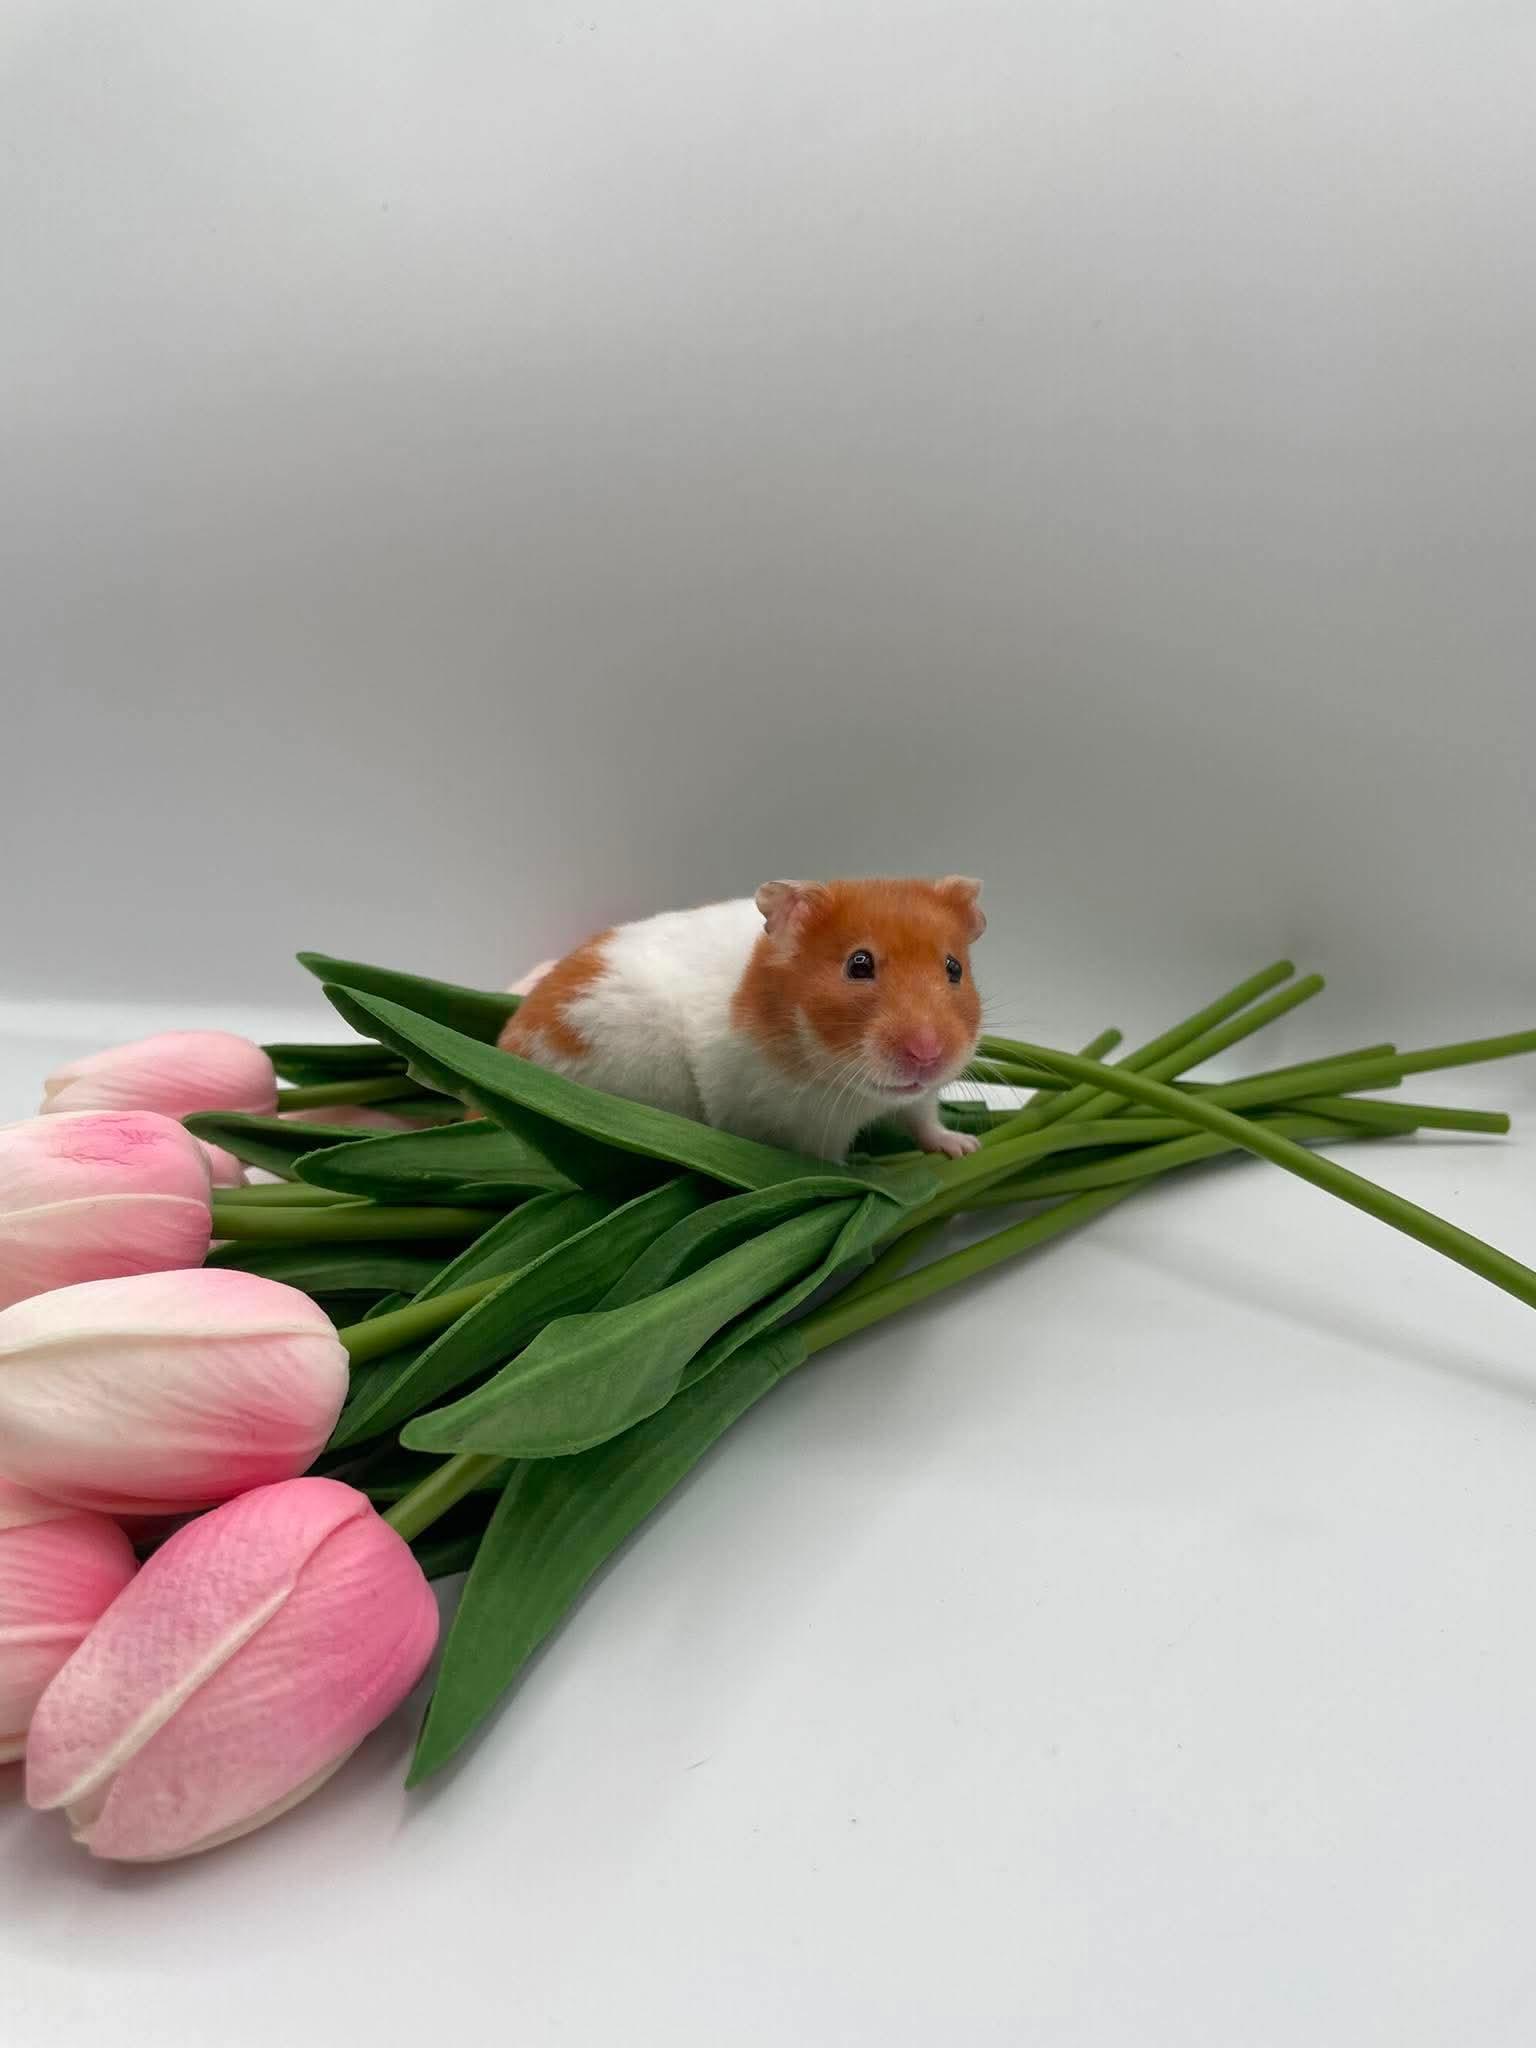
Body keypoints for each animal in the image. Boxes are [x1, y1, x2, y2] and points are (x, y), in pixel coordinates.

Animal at [498, 876, 987, 1162]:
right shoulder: (806, 1130)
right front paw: (858, 1177)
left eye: (954, 968)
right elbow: (828, 1165)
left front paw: (966, 1148)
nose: (928, 1055)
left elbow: (926, 1120)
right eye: (859, 965)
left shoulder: (917, 1099)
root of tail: (507, 1044)